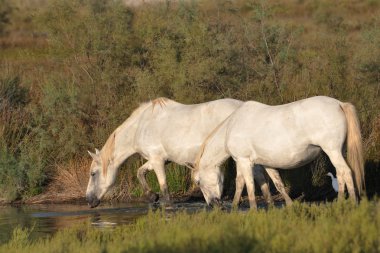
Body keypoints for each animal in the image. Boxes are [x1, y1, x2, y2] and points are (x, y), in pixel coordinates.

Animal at [84, 98, 290, 207]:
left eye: (93, 173)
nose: (89, 201)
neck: (141, 125)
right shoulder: (158, 159)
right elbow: (140, 172)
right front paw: (151, 196)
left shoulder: (157, 160)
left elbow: (164, 186)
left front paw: (164, 202)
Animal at [194, 96, 364, 209]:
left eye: (198, 182)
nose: (212, 204)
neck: (232, 126)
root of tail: (339, 104)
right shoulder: (262, 164)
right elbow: (274, 183)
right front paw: (282, 205)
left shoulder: (243, 161)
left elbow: (245, 184)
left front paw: (251, 209)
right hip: (338, 151)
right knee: (340, 174)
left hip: (332, 151)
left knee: (346, 172)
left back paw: (350, 203)